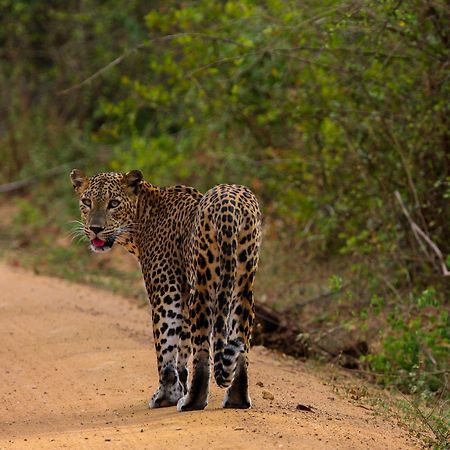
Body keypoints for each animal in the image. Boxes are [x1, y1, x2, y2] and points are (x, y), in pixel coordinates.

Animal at [68, 169, 262, 412]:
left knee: (202, 349)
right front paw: (179, 387)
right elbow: (183, 346)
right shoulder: (184, 292)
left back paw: (192, 402)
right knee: (240, 338)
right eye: (87, 202)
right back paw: (237, 400)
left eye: (113, 203)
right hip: (244, 282)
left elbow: (166, 347)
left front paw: (166, 396)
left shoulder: (166, 291)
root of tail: (229, 203)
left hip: (204, 282)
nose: (95, 229)